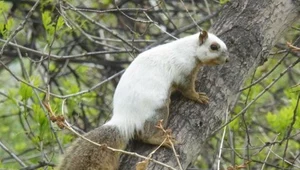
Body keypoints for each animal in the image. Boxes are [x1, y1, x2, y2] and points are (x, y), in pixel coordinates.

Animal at [57, 30, 229, 170]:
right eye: (214, 47)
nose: (227, 60)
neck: (189, 49)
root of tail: (124, 119)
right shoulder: (183, 72)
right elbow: (187, 89)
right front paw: (197, 96)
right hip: (158, 109)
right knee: (145, 134)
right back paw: (160, 139)